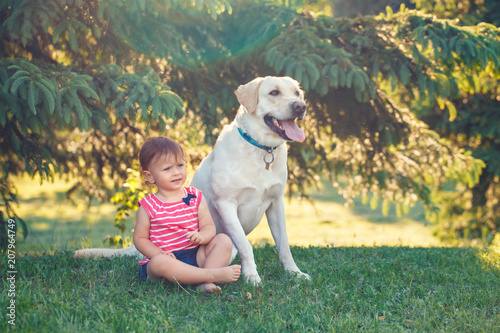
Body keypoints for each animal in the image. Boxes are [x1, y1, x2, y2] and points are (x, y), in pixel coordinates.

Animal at [73, 76, 308, 284]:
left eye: (297, 92)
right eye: (274, 92)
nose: (301, 106)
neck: (261, 149)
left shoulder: (276, 203)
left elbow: (284, 245)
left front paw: (294, 273)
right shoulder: (226, 204)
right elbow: (245, 245)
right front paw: (252, 276)